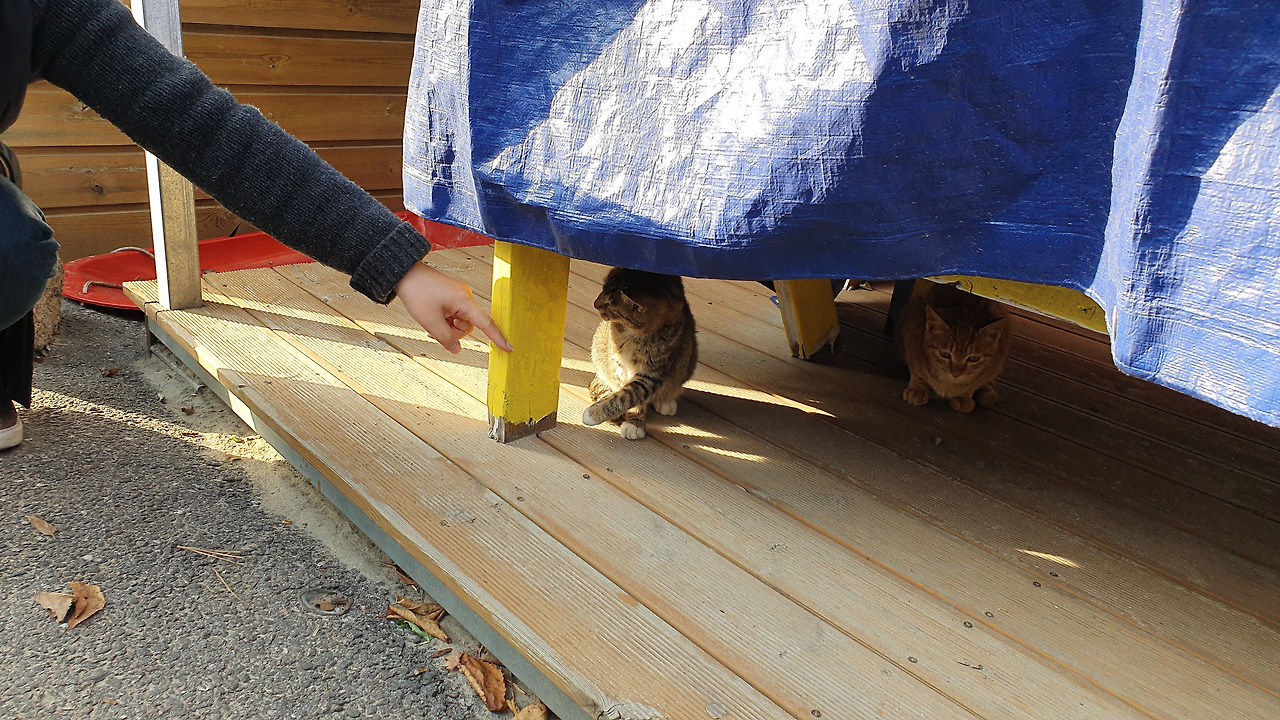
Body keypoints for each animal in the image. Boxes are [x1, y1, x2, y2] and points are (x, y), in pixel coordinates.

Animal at [582, 267, 698, 440]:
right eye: (602, 290)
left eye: (610, 303)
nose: (595, 303)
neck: (637, 336)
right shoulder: (619, 367)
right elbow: (626, 394)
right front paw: (634, 419)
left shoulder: (652, 375)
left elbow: (628, 396)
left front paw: (595, 414)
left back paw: (665, 400)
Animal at [896, 282, 1012, 413]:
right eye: (945, 354)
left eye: (973, 359)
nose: (956, 374)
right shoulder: (911, 336)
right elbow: (917, 371)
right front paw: (917, 390)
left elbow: (974, 384)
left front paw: (964, 397)